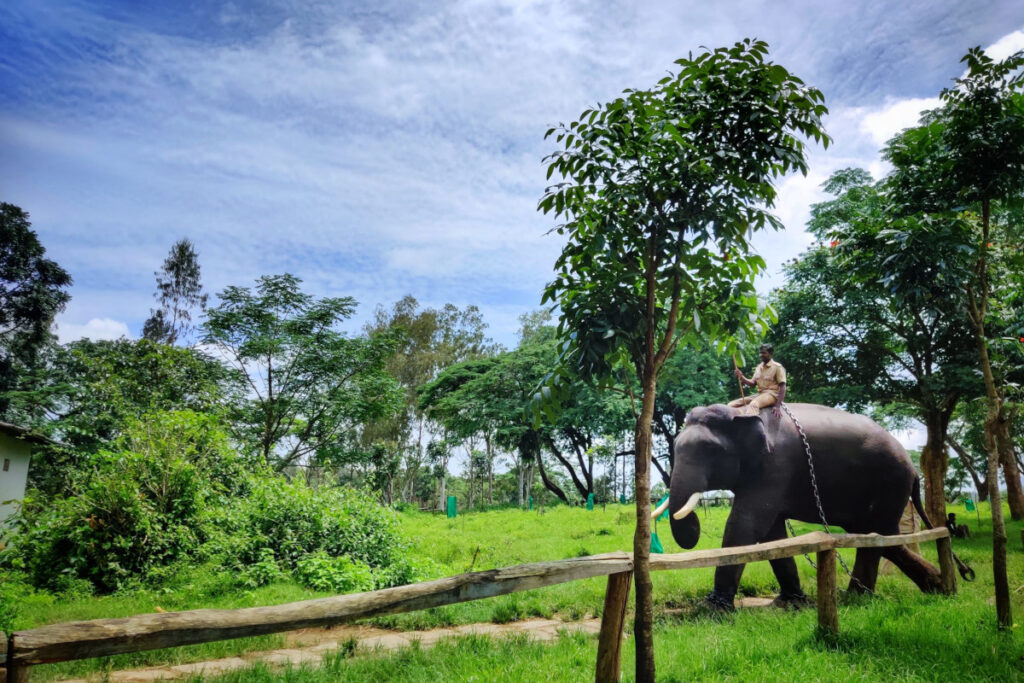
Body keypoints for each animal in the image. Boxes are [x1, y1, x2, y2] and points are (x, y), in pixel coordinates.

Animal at [655, 401, 942, 610]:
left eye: (709, 449)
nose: (694, 522)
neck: (740, 412)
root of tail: (914, 471)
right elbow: (771, 534)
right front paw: (790, 603)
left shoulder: (776, 466)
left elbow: (745, 525)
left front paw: (713, 609)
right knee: (878, 538)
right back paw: (936, 585)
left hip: (889, 484)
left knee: (876, 536)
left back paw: (857, 599)